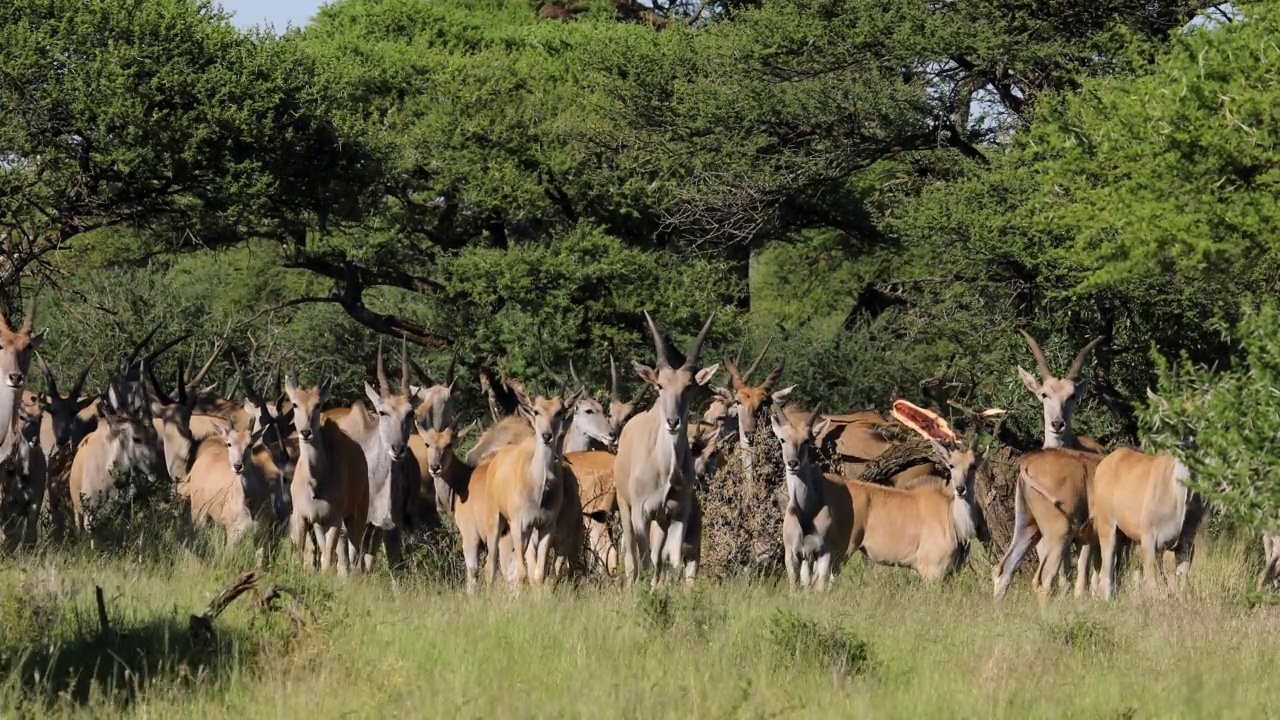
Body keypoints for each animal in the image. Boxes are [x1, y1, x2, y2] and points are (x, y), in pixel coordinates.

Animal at [282, 371, 368, 573]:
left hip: (357, 513)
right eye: (295, 404)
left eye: (318, 404)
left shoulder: (334, 520)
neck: (315, 482)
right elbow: (305, 556)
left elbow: (329, 559)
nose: (306, 432)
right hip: (319, 524)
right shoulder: (302, 518)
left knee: (355, 550)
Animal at [611, 307, 716, 584]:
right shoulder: (641, 513)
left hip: (661, 520)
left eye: (688, 386)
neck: (665, 469)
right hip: (626, 507)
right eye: (660, 385)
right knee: (633, 557)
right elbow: (645, 560)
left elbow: (673, 562)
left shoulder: (678, 514)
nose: (673, 421)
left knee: (658, 558)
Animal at [993, 330, 1105, 599]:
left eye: (1072, 396)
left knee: (1004, 571)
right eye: (1044, 394)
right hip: (1052, 532)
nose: (1057, 423)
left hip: (1031, 527)